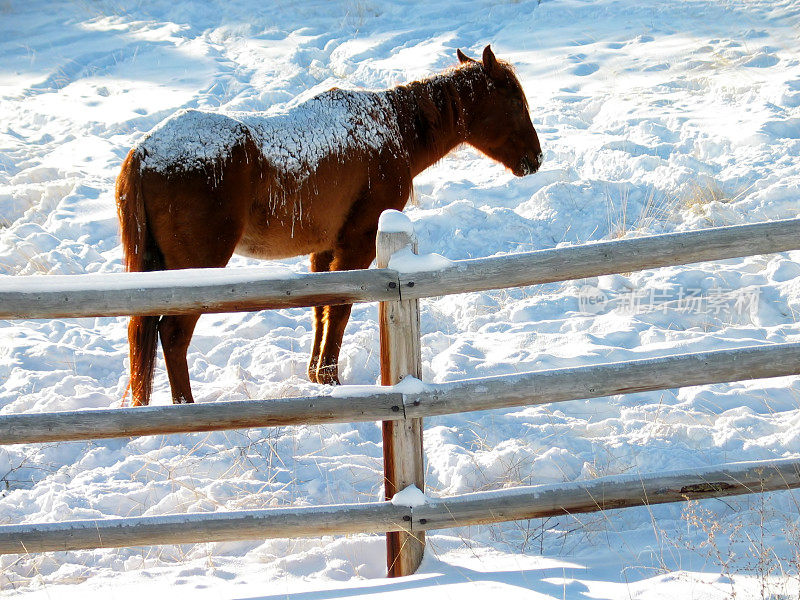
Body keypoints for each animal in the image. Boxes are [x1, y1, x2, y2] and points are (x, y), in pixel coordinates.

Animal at [117, 44, 544, 406]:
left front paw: (316, 375)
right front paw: (329, 377)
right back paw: (185, 406)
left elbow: (321, 307)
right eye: (514, 101)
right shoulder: (357, 244)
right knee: (173, 336)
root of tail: (144, 152)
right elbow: (339, 308)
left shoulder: (324, 249)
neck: (390, 128)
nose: (536, 158)